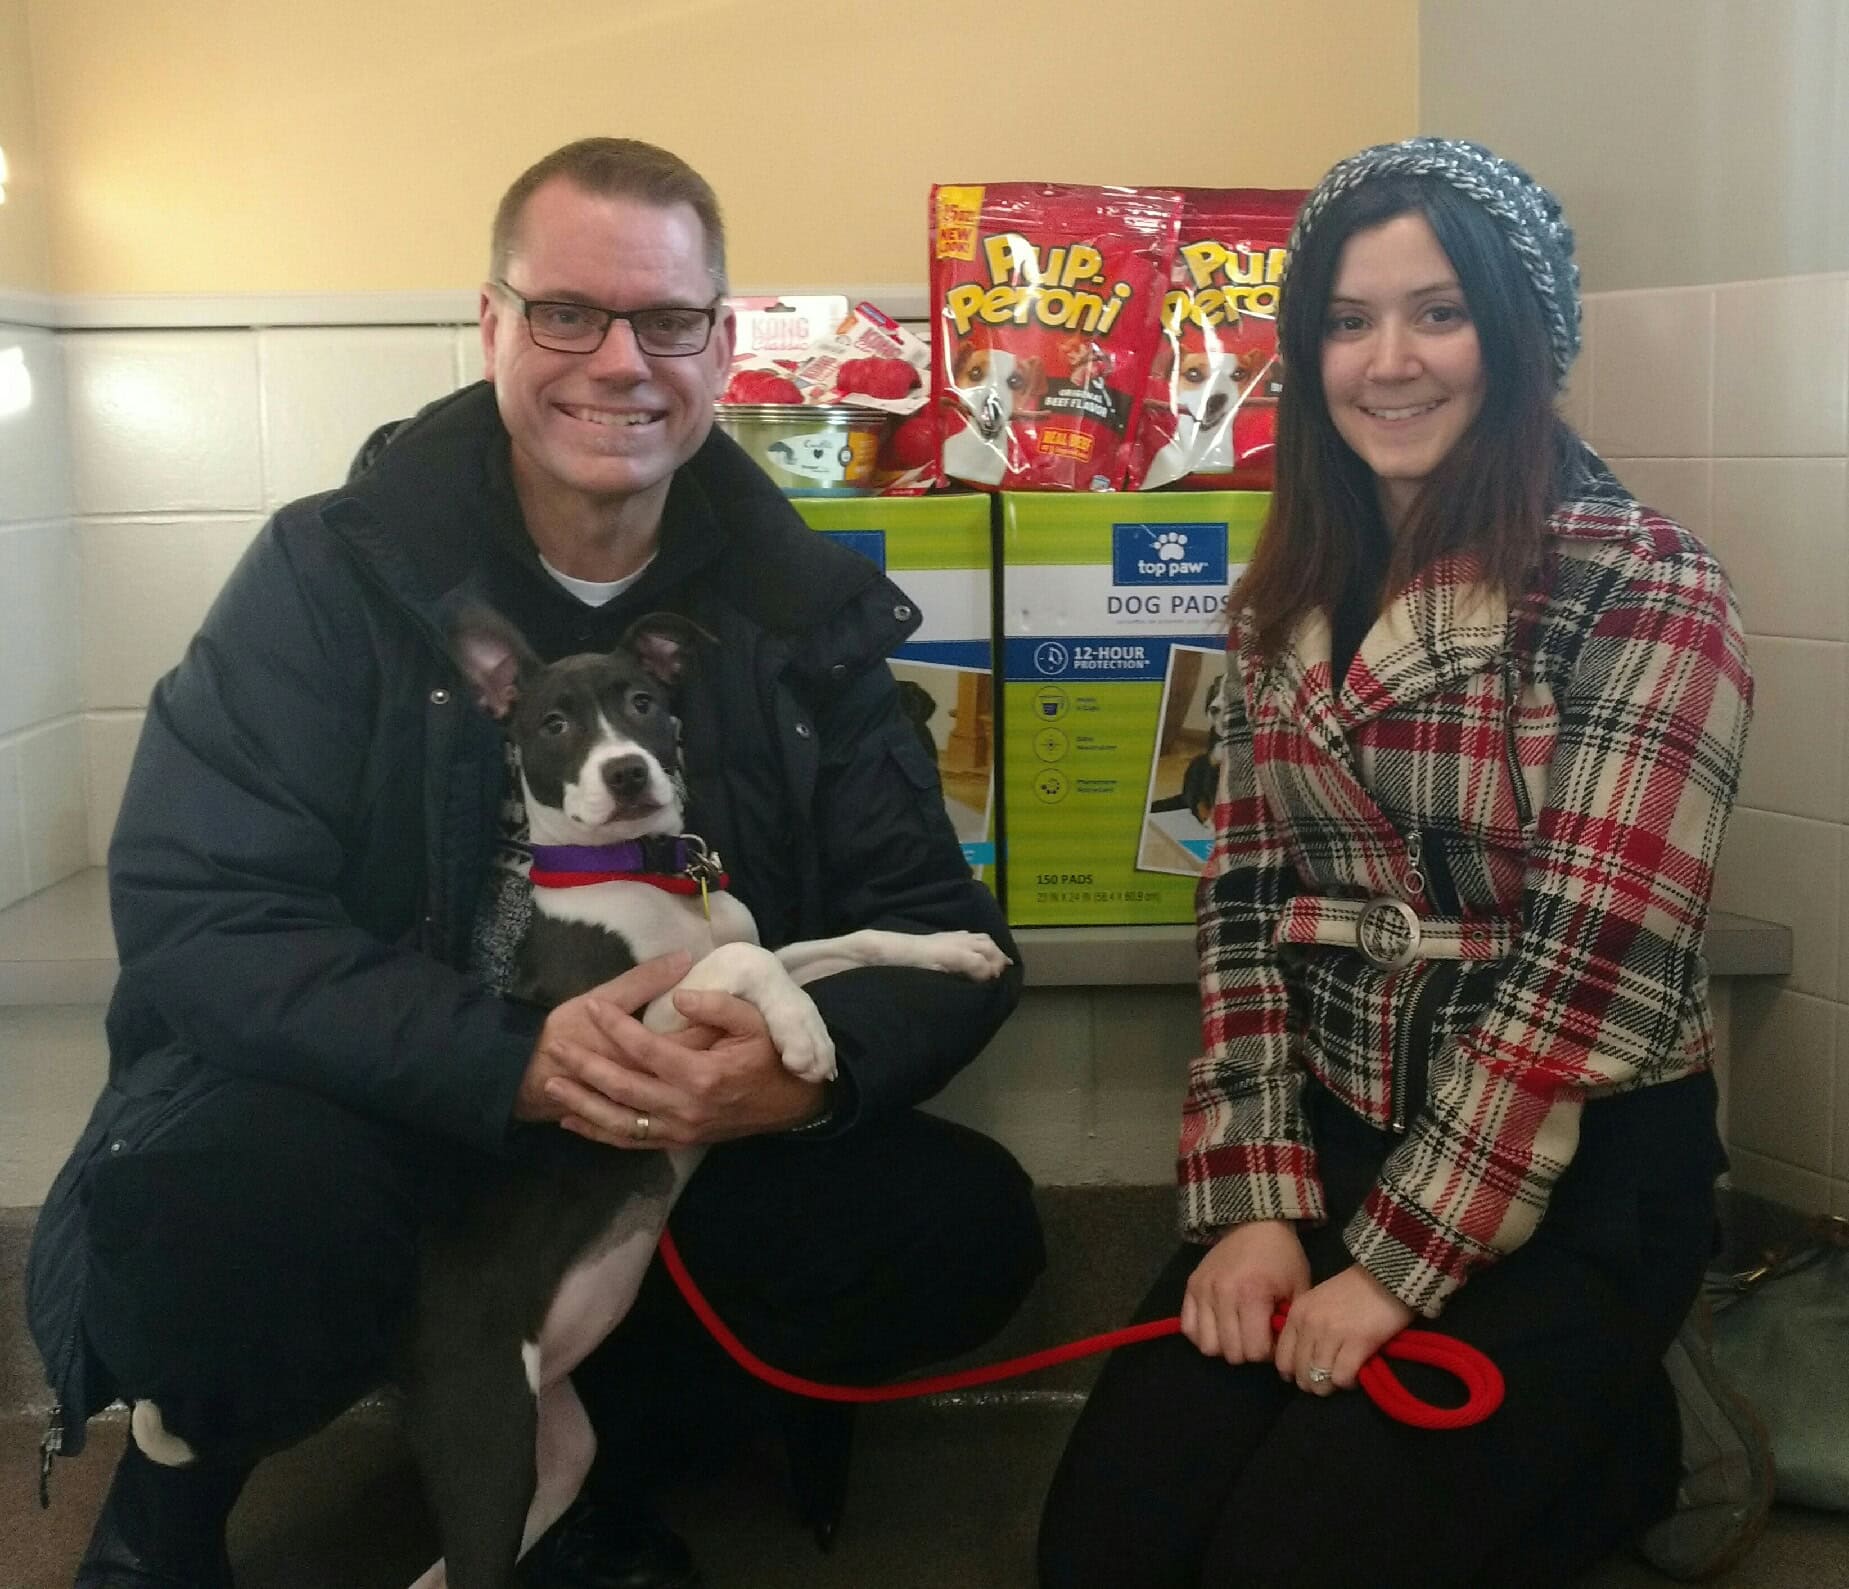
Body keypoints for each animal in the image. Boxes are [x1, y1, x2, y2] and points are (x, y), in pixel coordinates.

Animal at [392, 608, 1010, 1588]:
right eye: (553, 725)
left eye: (643, 702)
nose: (625, 772)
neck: (646, 877)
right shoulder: (628, 1025)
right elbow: (747, 963)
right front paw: (803, 1034)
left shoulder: (758, 959)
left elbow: (836, 941)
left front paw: (952, 948)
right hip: (485, 1444)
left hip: (553, 1453)